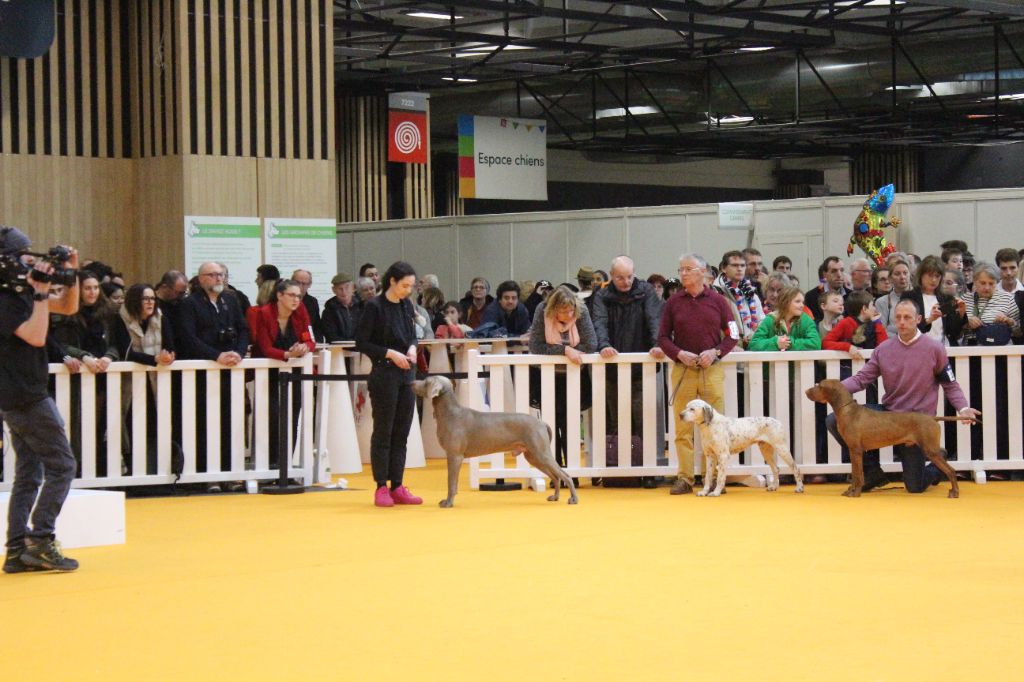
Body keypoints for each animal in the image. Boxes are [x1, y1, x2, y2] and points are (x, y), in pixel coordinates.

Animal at [413, 374, 577, 507]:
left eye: (426, 381)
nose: (411, 382)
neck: (449, 413)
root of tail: (541, 422)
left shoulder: (454, 456)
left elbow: (451, 482)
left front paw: (448, 503)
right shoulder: (454, 457)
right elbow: (454, 482)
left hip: (541, 453)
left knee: (566, 475)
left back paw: (573, 499)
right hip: (533, 456)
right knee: (556, 477)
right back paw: (555, 497)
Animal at [806, 374, 958, 497]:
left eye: (819, 385)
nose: (806, 391)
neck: (847, 410)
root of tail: (932, 418)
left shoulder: (855, 450)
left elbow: (858, 476)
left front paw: (855, 493)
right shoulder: (853, 450)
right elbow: (855, 474)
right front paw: (851, 491)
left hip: (930, 449)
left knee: (951, 470)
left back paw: (954, 492)